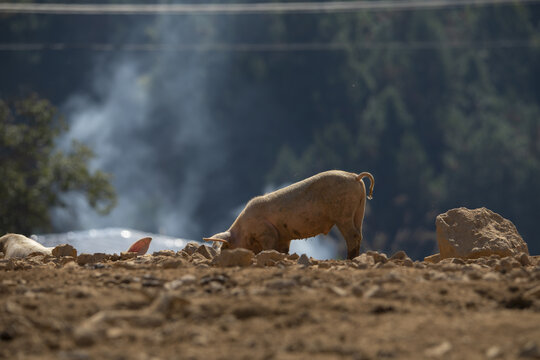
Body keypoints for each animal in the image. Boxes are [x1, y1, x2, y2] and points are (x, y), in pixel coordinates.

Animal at [205, 170, 374, 260]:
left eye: (227, 246)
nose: (220, 257)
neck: (244, 229)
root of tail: (355, 176)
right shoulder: (284, 236)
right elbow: (283, 250)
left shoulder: (266, 232)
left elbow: (269, 247)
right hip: (359, 210)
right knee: (359, 234)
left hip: (343, 214)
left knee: (352, 235)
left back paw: (349, 259)